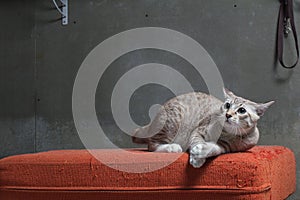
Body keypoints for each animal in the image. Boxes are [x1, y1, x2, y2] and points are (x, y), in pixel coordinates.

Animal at [132, 88, 274, 168]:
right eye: (227, 105)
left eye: (242, 110)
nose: (227, 115)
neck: (228, 134)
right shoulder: (198, 131)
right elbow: (196, 141)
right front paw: (196, 156)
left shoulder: (228, 147)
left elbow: (215, 148)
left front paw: (201, 152)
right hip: (173, 122)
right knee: (152, 145)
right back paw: (172, 147)